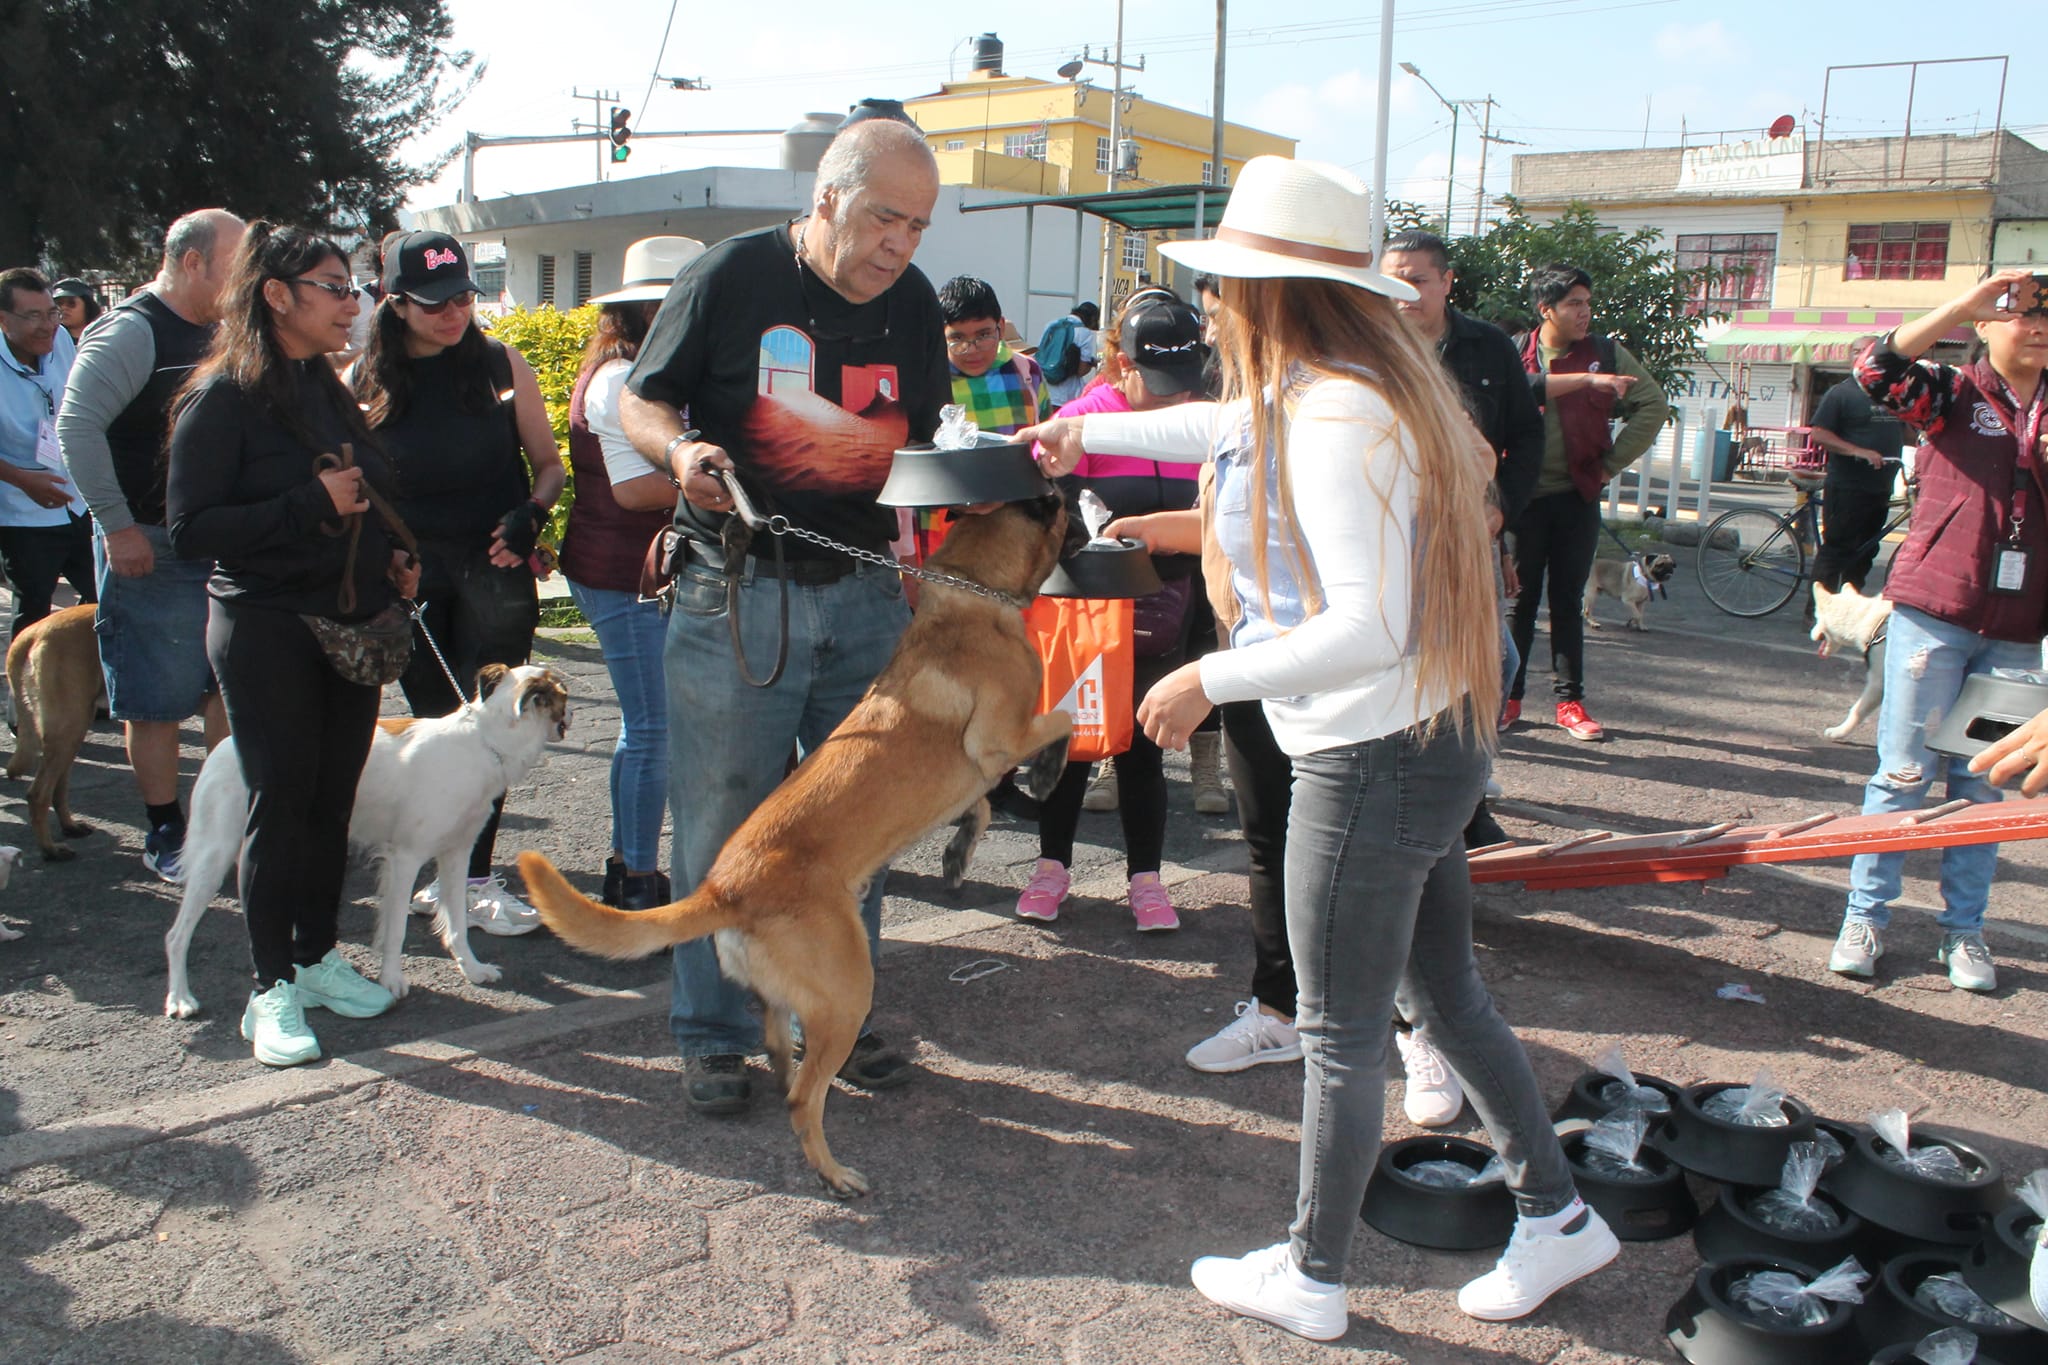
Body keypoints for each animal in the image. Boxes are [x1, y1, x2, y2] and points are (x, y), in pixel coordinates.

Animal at [5, 605, 107, 859]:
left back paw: (69, 826)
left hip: (74, 727)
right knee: (38, 794)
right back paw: (50, 849)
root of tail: (31, 632)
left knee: (58, 787)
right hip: (70, 725)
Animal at [163, 663, 569, 1015]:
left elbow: (455, 924)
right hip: (214, 856)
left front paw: (472, 969)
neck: (485, 742)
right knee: (177, 935)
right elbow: (396, 929)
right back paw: (181, 999)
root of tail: (222, 747)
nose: (568, 722)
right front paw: (391, 980)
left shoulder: (456, 854)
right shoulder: (405, 858)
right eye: (562, 699)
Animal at [520, 497, 1081, 1203]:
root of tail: (723, 889)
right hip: (847, 993)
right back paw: (835, 1174)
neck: (969, 600)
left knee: (776, 1044)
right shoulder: (998, 740)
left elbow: (977, 805)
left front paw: (959, 850)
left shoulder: (977, 769)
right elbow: (1065, 718)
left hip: (795, 994)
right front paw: (1047, 775)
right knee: (802, 1100)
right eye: (1056, 501)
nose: (1082, 492)